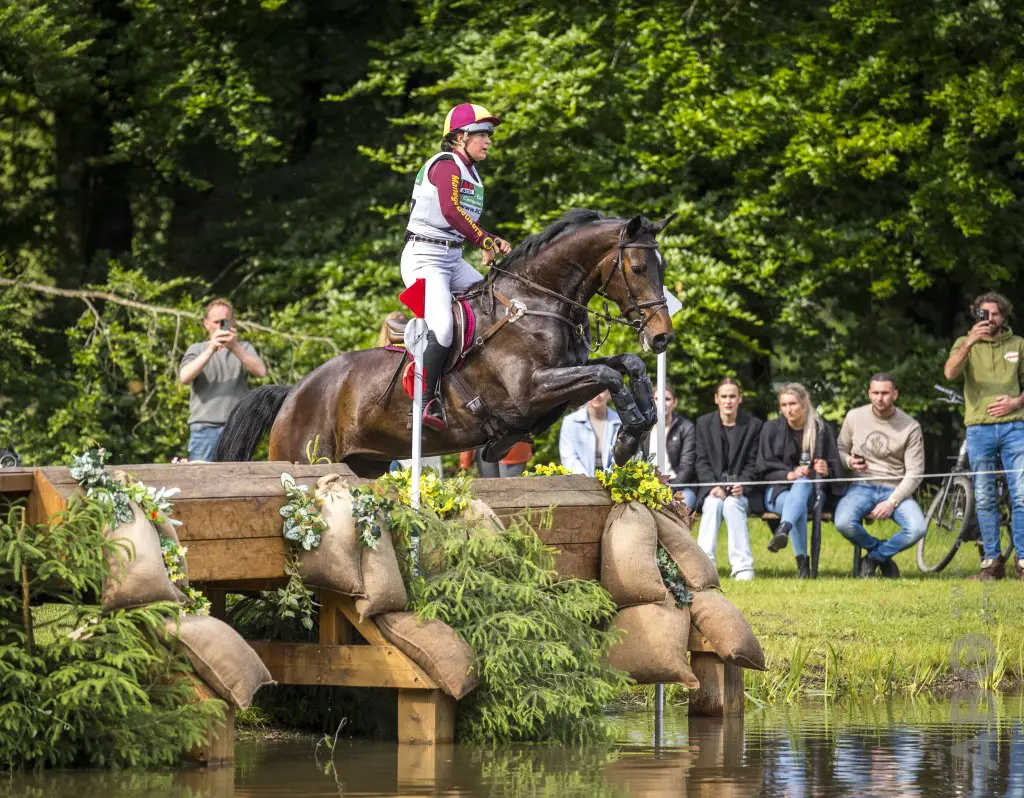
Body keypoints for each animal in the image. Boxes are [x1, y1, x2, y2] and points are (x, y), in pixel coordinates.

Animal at [215, 209, 675, 477]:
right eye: (638, 267)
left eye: (663, 266)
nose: (661, 336)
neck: (536, 301)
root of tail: (293, 392)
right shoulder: (531, 391)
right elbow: (606, 375)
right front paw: (626, 441)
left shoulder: (561, 379)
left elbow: (626, 365)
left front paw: (641, 425)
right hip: (304, 458)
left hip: (364, 465)